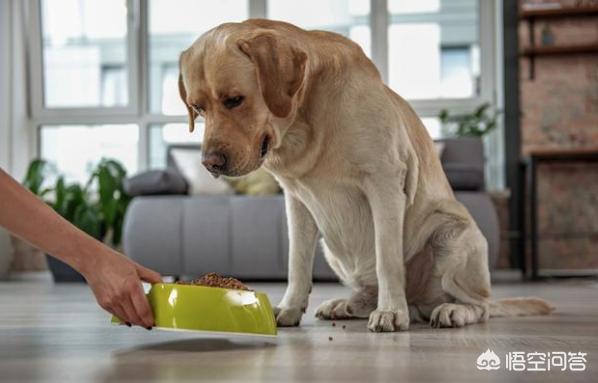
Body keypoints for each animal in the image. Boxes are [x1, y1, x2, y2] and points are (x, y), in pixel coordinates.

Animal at [178, 19, 552, 332]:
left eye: (234, 100)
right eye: (198, 108)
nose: (210, 163)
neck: (305, 124)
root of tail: (420, 302)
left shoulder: (384, 185)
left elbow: (388, 259)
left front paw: (391, 312)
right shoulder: (296, 202)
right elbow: (296, 263)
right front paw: (288, 308)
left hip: (452, 235)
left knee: (480, 305)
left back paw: (448, 310)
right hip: (332, 246)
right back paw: (348, 304)